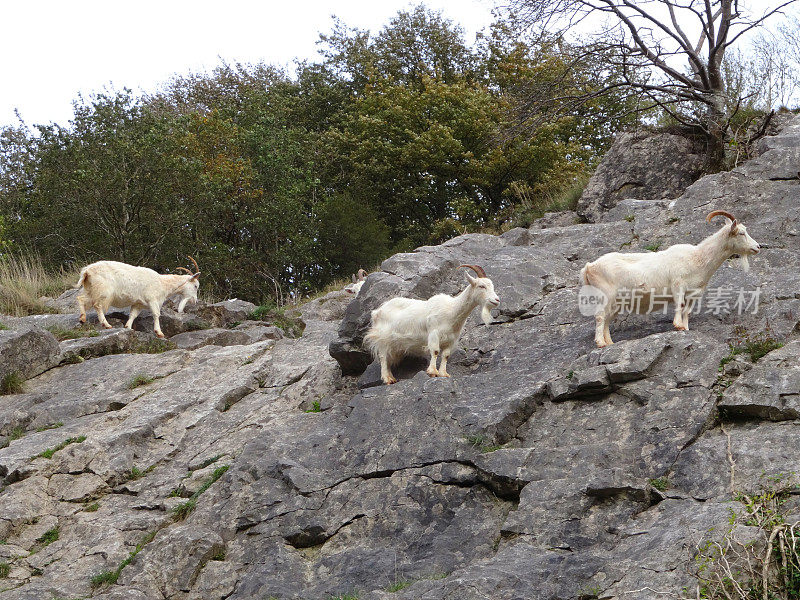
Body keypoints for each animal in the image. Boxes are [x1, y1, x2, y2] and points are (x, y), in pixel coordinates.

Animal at [364, 264, 500, 384]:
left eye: (492, 286)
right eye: (481, 286)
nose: (497, 300)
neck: (452, 311)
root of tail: (376, 312)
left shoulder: (451, 340)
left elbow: (445, 355)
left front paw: (443, 373)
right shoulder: (434, 333)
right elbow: (434, 351)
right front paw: (432, 372)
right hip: (383, 338)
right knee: (383, 357)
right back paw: (387, 379)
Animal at [580, 210, 764, 346]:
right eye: (741, 233)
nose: (757, 247)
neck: (697, 258)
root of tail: (589, 267)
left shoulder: (694, 293)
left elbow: (687, 311)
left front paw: (686, 328)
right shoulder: (678, 285)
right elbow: (679, 305)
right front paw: (678, 326)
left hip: (616, 303)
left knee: (607, 320)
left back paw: (609, 343)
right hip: (605, 295)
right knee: (600, 317)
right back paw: (600, 344)